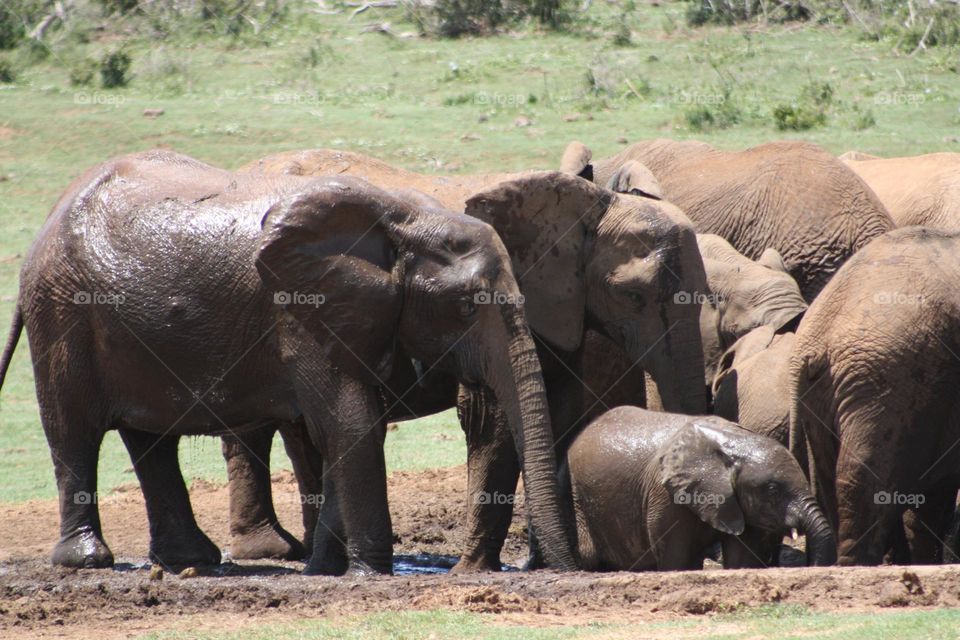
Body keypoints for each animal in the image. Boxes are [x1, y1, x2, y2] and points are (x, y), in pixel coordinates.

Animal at [0, 150, 576, 576]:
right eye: (467, 306)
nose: (561, 570)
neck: (406, 216)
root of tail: (51, 218)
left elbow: (345, 427)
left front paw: (326, 568)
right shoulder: (300, 308)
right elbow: (350, 422)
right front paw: (370, 572)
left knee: (150, 440)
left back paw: (193, 560)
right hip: (63, 310)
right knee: (72, 430)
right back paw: (87, 561)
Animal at [232, 150, 708, 568]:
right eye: (632, 296)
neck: (587, 204)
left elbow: (558, 411)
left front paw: (541, 563)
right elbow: (490, 422)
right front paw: (477, 569)